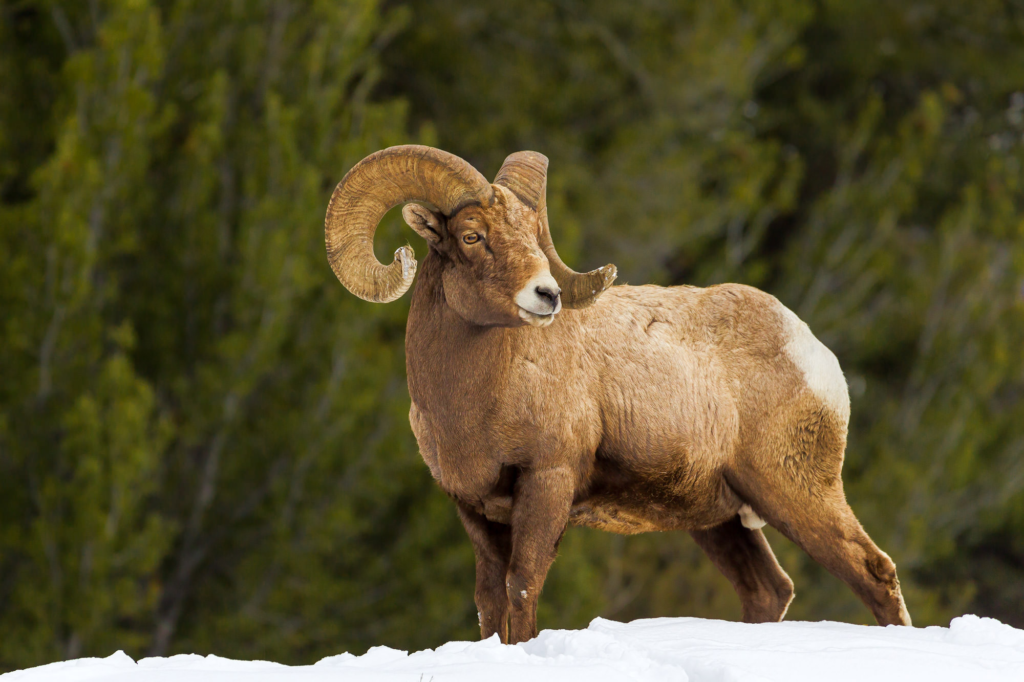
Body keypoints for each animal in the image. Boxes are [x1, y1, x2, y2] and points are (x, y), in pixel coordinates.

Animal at [325, 145, 912, 644]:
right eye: (471, 236)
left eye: (533, 233)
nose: (547, 295)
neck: (472, 400)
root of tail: (814, 354)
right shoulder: (473, 505)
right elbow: (489, 599)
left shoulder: (548, 482)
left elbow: (522, 585)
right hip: (721, 519)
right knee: (769, 590)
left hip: (793, 489)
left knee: (873, 571)